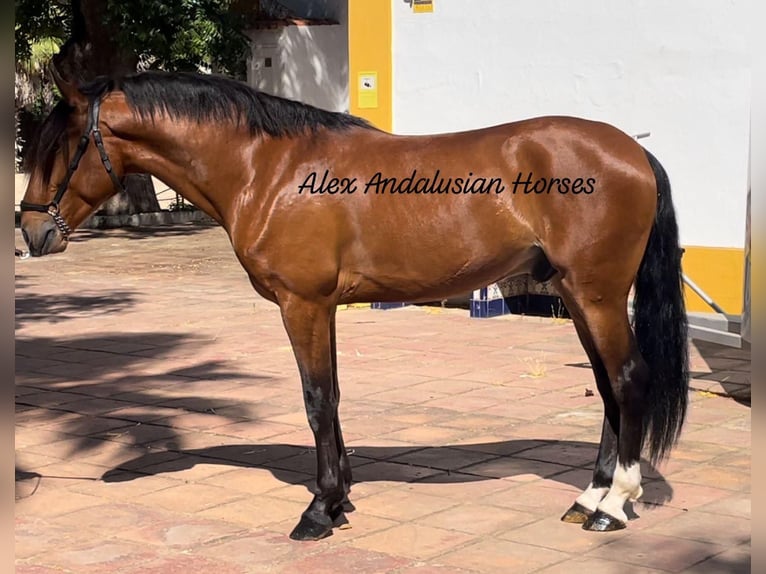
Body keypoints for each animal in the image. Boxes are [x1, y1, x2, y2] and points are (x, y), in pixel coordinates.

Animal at [19, 70, 688, 544]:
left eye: (62, 146)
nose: (31, 234)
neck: (268, 168)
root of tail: (632, 152)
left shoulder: (302, 305)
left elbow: (316, 400)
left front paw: (317, 512)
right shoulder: (326, 308)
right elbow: (334, 397)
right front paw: (340, 500)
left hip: (597, 294)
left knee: (628, 380)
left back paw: (614, 506)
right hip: (578, 296)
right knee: (607, 388)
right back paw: (588, 499)